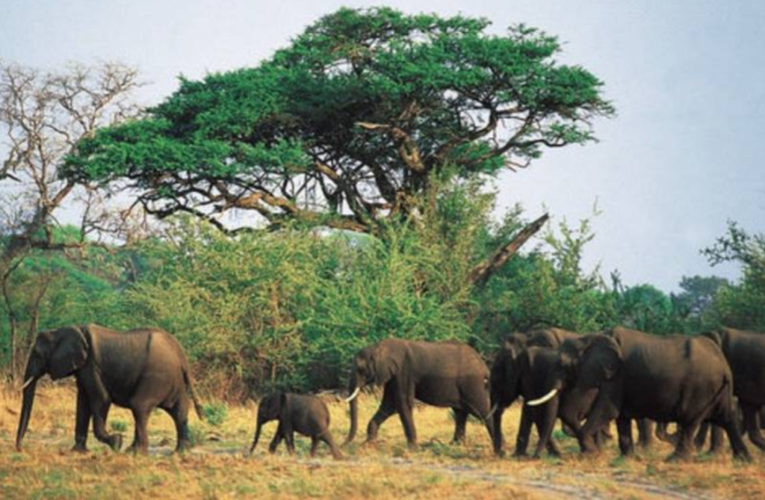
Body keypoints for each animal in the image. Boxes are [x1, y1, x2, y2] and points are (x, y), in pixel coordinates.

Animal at [16, 324, 204, 454]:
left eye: (38, 355)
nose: (20, 448)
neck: (71, 329)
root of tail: (181, 355)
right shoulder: (84, 369)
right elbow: (82, 402)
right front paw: (78, 452)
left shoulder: (91, 366)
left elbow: (100, 399)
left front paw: (116, 442)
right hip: (174, 380)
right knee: (179, 411)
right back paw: (179, 452)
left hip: (156, 376)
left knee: (139, 406)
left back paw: (136, 452)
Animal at [344, 338, 492, 448]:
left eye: (361, 369)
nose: (343, 444)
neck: (379, 346)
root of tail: (483, 365)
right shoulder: (393, 377)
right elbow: (389, 405)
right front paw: (368, 444)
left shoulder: (404, 372)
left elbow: (402, 404)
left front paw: (413, 447)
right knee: (460, 413)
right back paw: (455, 445)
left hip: (472, 383)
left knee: (482, 410)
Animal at [528, 328, 748, 460]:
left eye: (563, 365)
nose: (536, 458)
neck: (590, 337)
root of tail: (724, 366)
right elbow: (621, 418)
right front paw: (627, 458)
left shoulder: (616, 376)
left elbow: (607, 410)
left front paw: (589, 455)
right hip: (717, 389)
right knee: (727, 417)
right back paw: (744, 459)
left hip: (700, 388)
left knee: (690, 420)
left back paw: (675, 460)